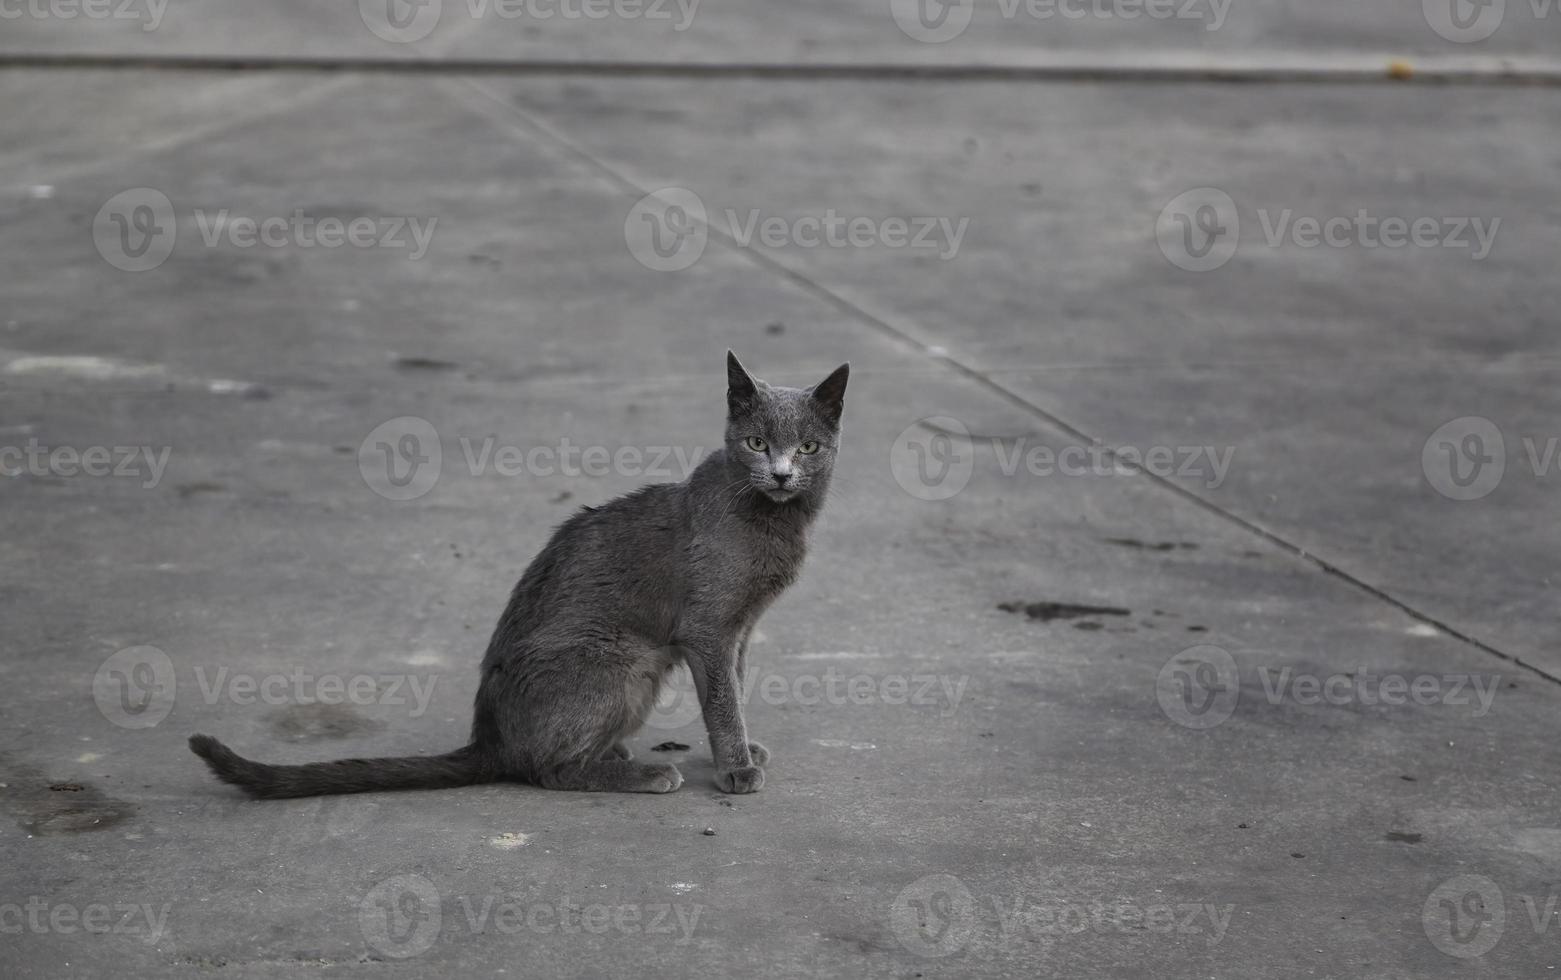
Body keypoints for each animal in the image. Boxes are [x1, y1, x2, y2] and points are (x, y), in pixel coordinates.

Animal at [188, 352, 849, 795]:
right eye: (757, 442)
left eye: (809, 448)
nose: (782, 473)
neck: (773, 519)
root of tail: (490, 742)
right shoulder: (708, 629)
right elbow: (721, 699)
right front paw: (736, 768)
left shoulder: (740, 629)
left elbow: (732, 688)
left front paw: (739, 751)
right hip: (625, 660)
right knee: (548, 771)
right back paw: (643, 771)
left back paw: (617, 755)